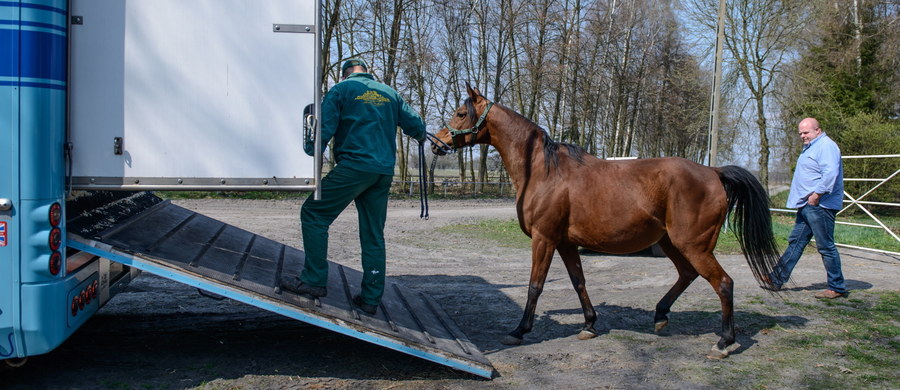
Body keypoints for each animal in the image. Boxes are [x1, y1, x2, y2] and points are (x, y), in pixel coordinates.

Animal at [430, 85, 780, 360]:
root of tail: (714, 172)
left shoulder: (544, 238)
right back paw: (660, 315)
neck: (543, 171)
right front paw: (589, 324)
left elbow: (535, 285)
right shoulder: (565, 242)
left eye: (460, 114)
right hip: (671, 242)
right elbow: (579, 282)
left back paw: (724, 342)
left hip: (693, 245)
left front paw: (519, 330)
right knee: (687, 274)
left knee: (723, 283)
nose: (437, 143)